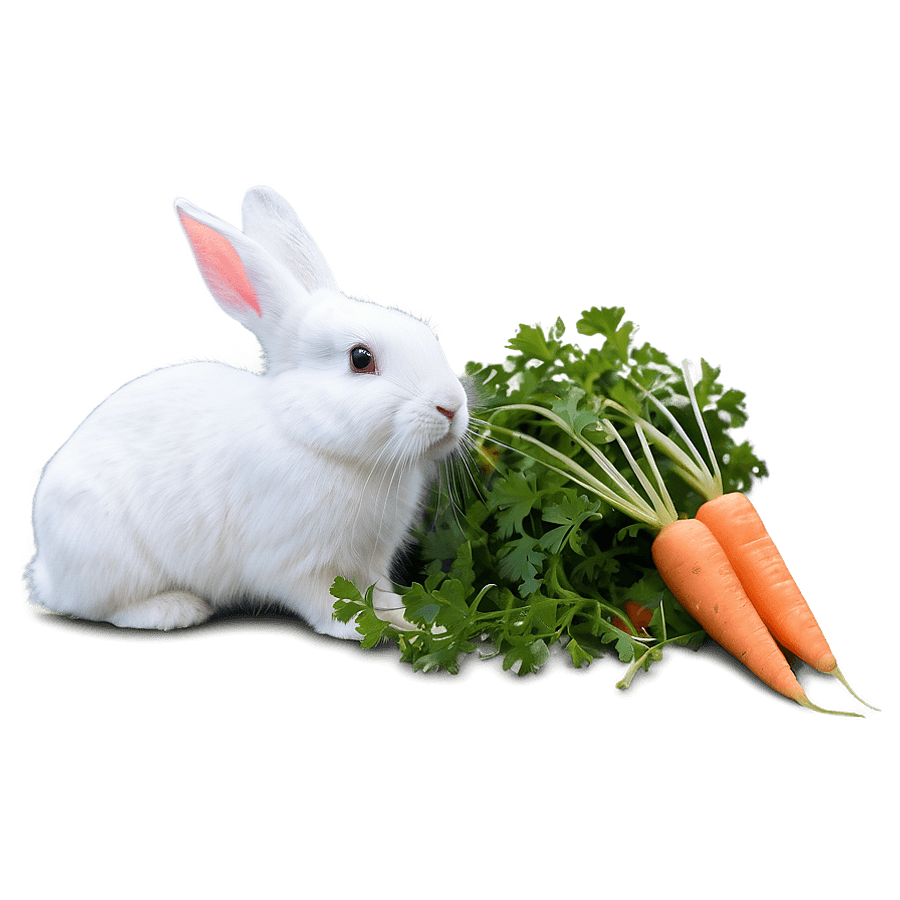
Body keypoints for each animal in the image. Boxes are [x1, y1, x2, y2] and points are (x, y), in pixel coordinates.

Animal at [23, 184, 471, 639]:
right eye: (361, 359)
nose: (451, 407)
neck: (315, 440)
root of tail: (46, 573)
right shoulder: (297, 563)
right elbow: (328, 603)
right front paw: (367, 631)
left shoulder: (372, 562)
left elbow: (379, 594)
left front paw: (416, 625)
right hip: (112, 559)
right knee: (99, 607)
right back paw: (174, 610)